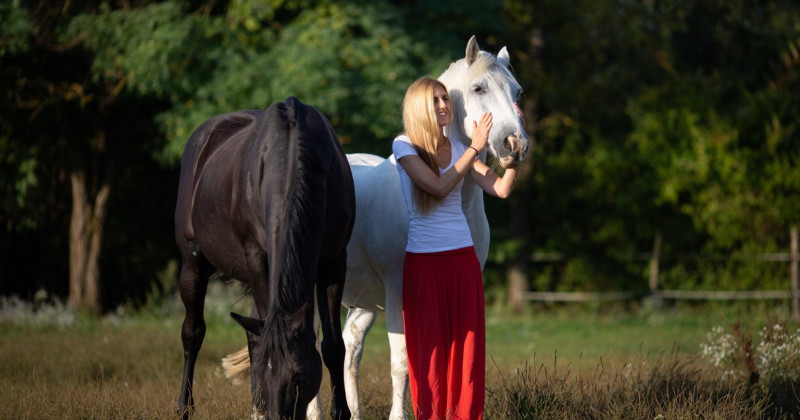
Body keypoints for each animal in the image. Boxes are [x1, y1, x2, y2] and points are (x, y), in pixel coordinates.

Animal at [175, 97, 354, 418]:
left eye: (298, 376)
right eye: (264, 372)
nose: (277, 414)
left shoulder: (334, 262)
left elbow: (333, 346)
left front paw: (341, 412)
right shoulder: (256, 256)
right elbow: (258, 342)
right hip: (192, 263)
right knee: (192, 333)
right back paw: (185, 407)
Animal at [222, 37, 528, 420]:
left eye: (517, 92)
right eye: (478, 88)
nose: (514, 144)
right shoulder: (399, 291)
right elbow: (402, 363)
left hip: (361, 300)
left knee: (350, 350)